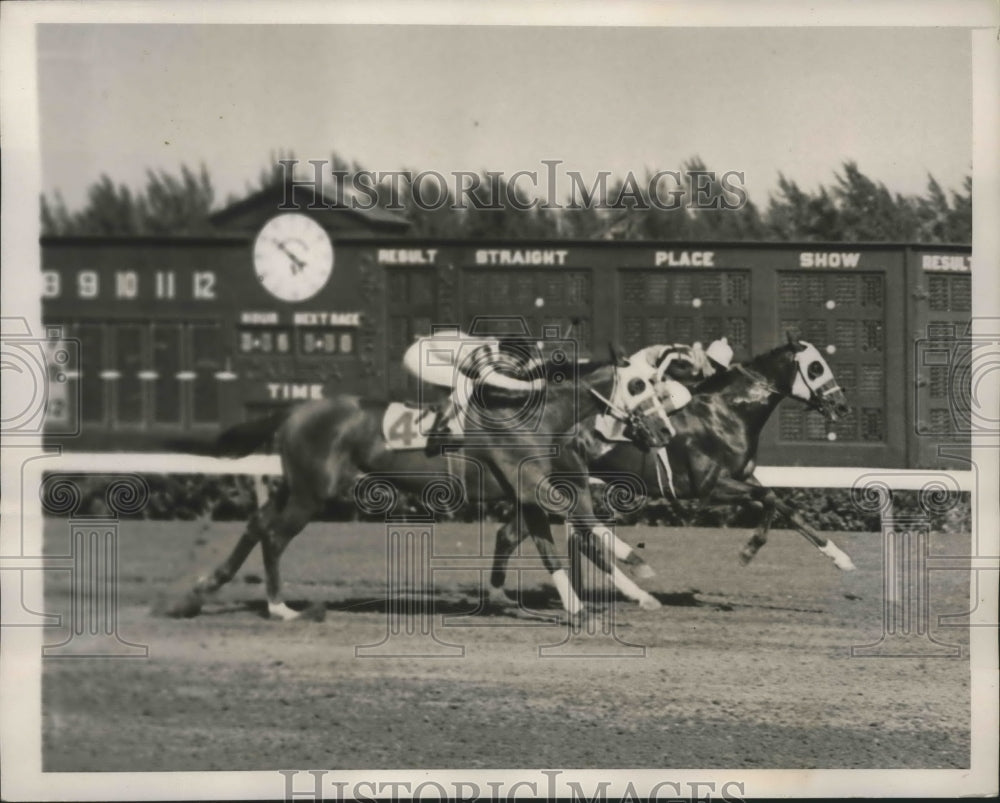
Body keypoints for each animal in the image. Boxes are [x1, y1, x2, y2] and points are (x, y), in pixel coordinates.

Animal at [168, 360, 668, 620]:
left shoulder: (528, 495)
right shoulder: (534, 489)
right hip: (315, 491)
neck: (538, 418)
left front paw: (584, 604)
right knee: (273, 534)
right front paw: (636, 568)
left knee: (257, 523)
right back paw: (279, 607)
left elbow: (548, 544)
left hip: (297, 485)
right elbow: (580, 526)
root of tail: (293, 411)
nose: (663, 431)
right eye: (638, 386)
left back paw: (204, 587)